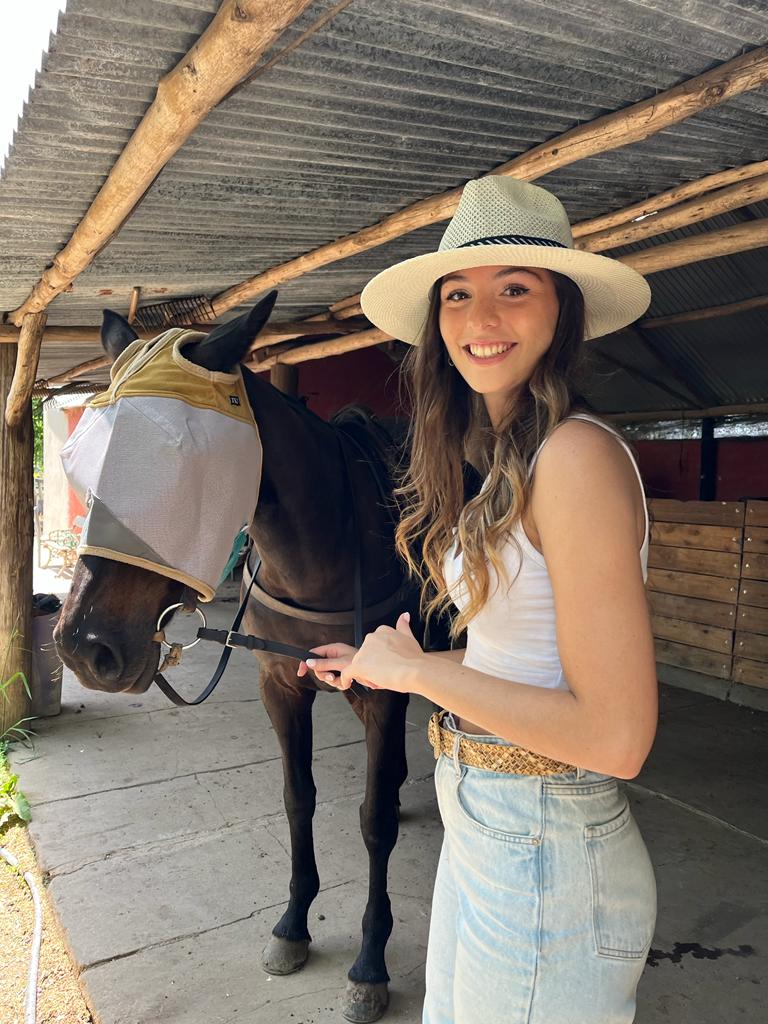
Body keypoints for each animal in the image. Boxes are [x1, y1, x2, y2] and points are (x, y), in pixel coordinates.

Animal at [54, 292, 438, 1019]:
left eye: (177, 465)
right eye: (79, 460)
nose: (85, 647)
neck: (328, 550)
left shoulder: (381, 693)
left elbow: (372, 823)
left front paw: (370, 964)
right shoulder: (280, 685)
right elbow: (298, 798)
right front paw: (292, 926)